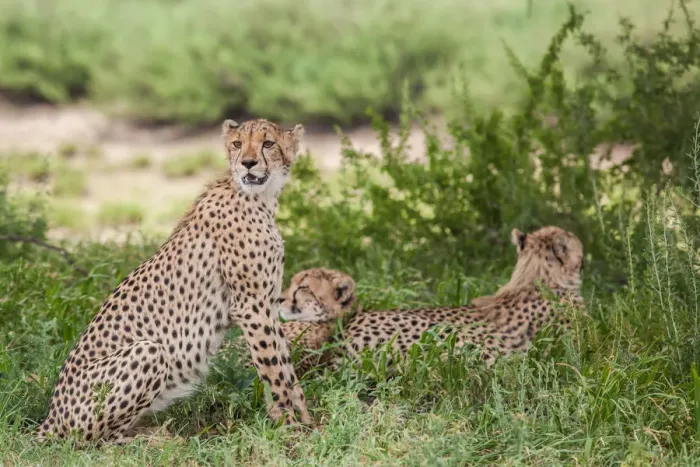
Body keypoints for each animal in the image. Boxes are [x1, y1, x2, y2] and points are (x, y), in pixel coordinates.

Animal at [35, 118, 311, 444]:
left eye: (268, 143)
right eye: (237, 144)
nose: (247, 163)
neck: (261, 198)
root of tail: (51, 416)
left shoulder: (266, 305)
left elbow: (287, 369)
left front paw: (308, 422)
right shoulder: (251, 307)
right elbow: (275, 372)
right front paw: (291, 428)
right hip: (149, 351)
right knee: (93, 439)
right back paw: (152, 439)